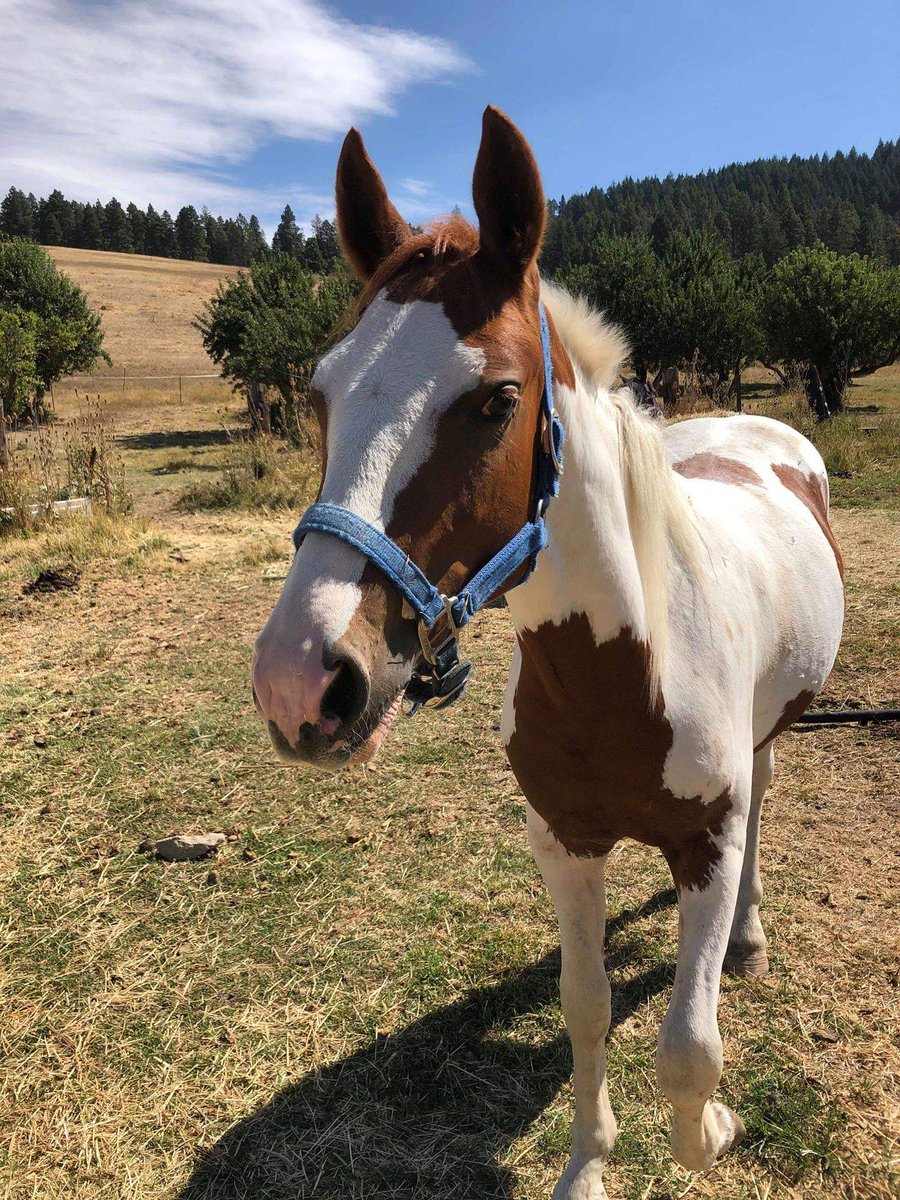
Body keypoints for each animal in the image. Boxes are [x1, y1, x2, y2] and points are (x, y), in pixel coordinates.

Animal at [252, 107, 844, 1198]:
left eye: (495, 400)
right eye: (320, 393)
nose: (300, 681)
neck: (625, 674)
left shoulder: (705, 840)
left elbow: (689, 1048)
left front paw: (714, 1132)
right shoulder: (563, 843)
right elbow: (587, 1008)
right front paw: (586, 1167)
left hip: (771, 735)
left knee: (765, 804)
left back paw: (746, 938)